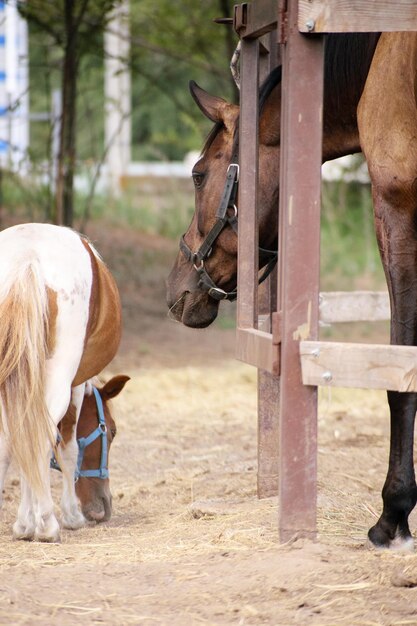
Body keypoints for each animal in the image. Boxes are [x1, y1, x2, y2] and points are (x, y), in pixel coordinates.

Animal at [0, 222, 122, 540]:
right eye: (111, 431)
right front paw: (66, 516)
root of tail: (28, 255)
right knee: (41, 437)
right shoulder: (75, 384)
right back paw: (49, 524)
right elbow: (67, 448)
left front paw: (24, 524)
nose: (103, 507)